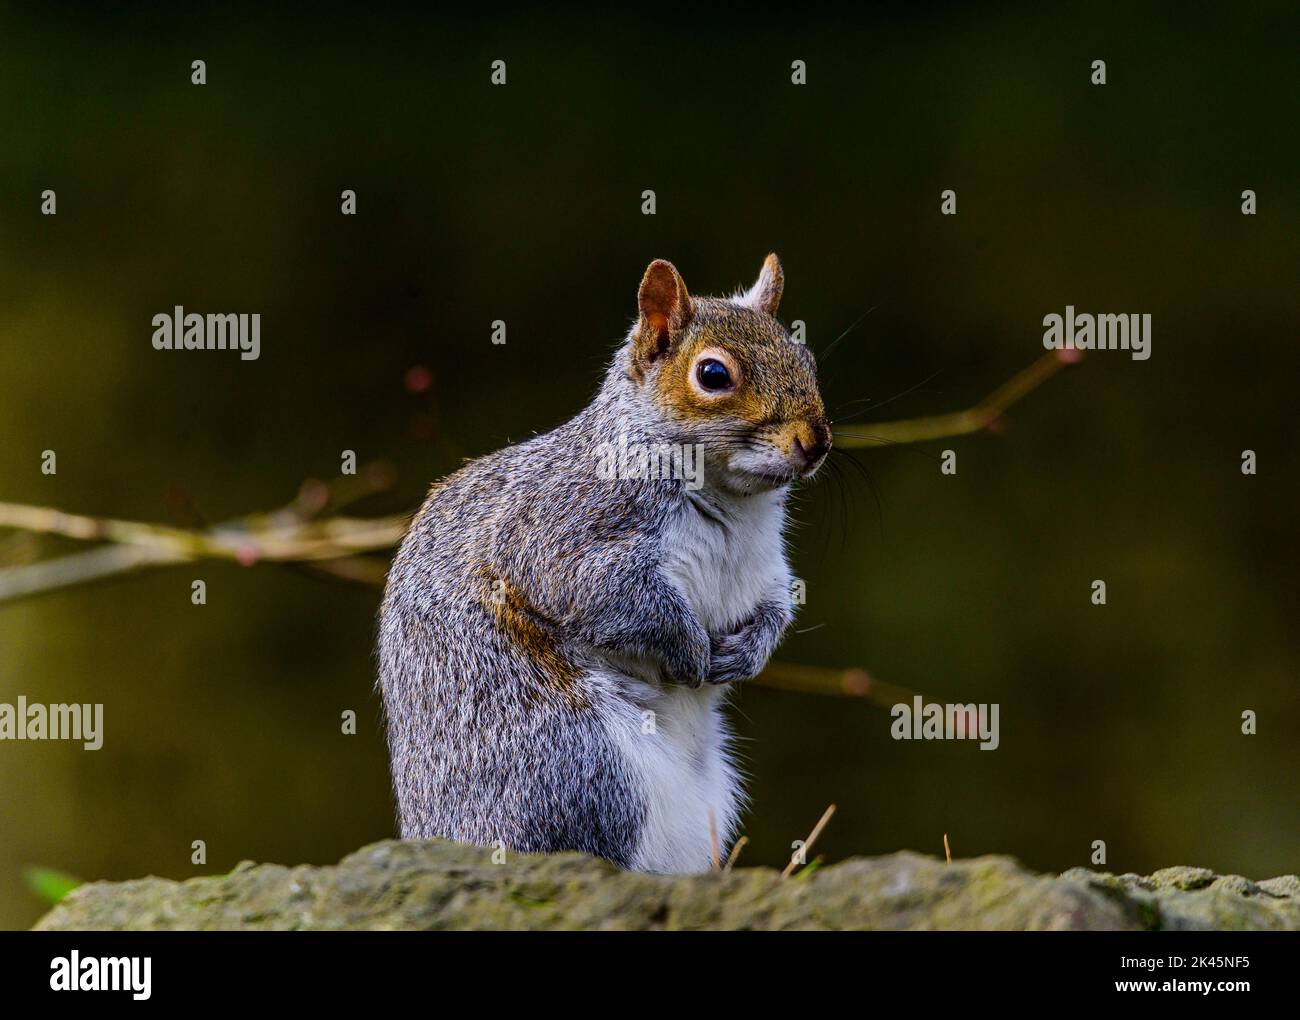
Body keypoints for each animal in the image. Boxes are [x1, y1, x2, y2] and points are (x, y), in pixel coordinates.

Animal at [377, 255, 831, 873]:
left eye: (806, 359)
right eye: (714, 375)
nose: (817, 441)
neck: (733, 506)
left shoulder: (765, 572)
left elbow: (776, 609)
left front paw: (748, 651)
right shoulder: (561, 535)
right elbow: (611, 597)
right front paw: (688, 645)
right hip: (577, 763)